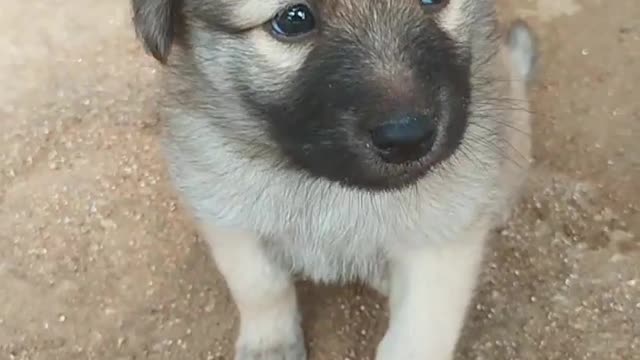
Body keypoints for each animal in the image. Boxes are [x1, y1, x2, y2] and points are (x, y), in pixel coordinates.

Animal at [132, 1, 536, 358]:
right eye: (293, 19)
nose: (408, 138)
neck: (324, 181)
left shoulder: (440, 241)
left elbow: (417, 338)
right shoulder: (228, 218)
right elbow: (261, 288)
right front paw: (270, 345)